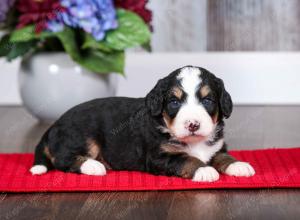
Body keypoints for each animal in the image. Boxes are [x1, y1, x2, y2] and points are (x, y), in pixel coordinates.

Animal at [30, 65, 254, 182]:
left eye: (208, 100)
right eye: (174, 102)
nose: (193, 124)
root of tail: (54, 125)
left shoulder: (216, 147)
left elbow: (223, 156)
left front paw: (238, 165)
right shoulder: (159, 156)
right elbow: (186, 159)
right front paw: (204, 170)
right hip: (83, 135)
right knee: (63, 159)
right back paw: (93, 166)